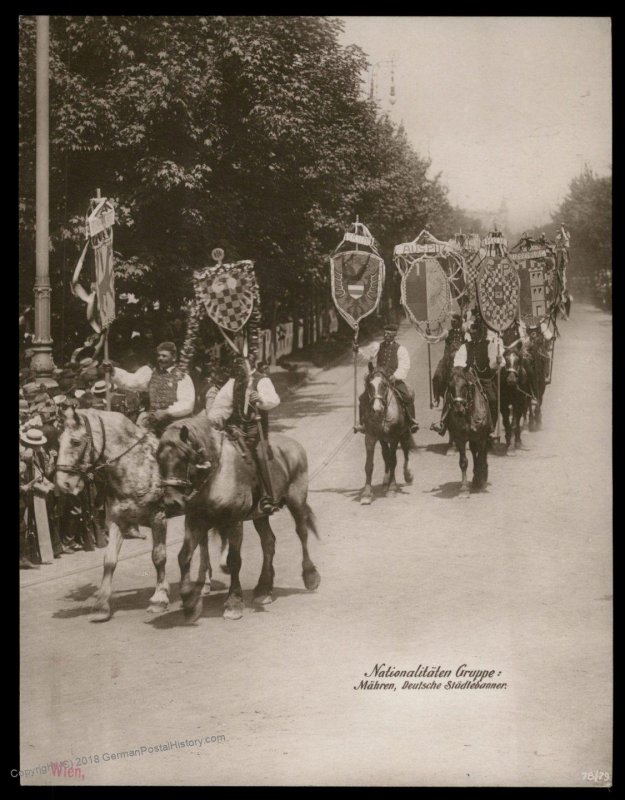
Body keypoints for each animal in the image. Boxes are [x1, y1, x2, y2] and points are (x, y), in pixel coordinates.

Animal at [156, 416, 322, 620]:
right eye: (159, 459)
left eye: (184, 457)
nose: (171, 502)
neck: (216, 475)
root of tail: (294, 445)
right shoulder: (195, 521)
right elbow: (184, 557)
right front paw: (190, 602)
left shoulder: (234, 522)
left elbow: (233, 560)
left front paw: (233, 603)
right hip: (260, 515)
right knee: (268, 542)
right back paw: (263, 589)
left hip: (297, 500)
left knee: (302, 533)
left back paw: (310, 576)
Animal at [358, 366, 412, 504]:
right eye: (369, 385)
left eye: (384, 385)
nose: (377, 410)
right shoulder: (370, 438)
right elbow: (369, 465)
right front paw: (366, 494)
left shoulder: (394, 438)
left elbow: (393, 461)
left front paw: (392, 488)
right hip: (383, 439)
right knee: (385, 454)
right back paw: (386, 480)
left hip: (404, 433)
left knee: (405, 450)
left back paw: (408, 475)